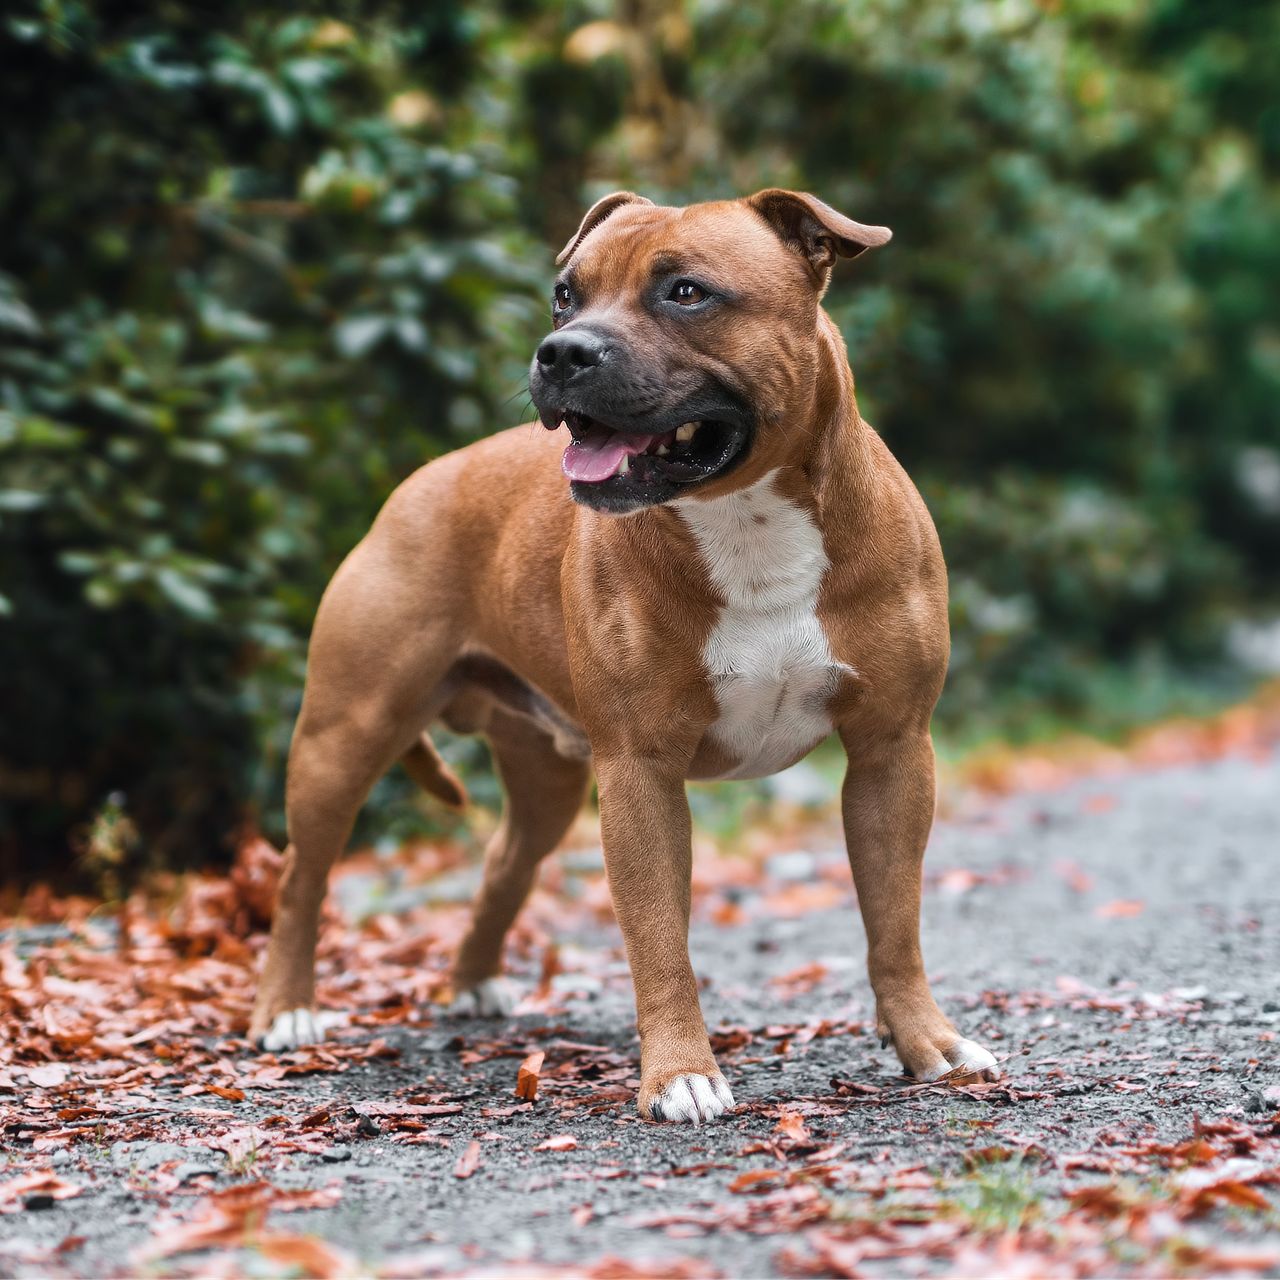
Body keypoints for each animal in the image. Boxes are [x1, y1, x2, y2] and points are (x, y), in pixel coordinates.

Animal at [244, 186, 993, 1121]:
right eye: (565, 295)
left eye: (687, 293)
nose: (561, 352)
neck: (744, 521)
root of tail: (418, 481)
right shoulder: (639, 770)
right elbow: (658, 935)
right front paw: (680, 1074)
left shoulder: (892, 752)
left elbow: (895, 920)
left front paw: (927, 1042)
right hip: (343, 738)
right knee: (302, 878)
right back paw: (285, 1011)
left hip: (546, 777)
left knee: (503, 863)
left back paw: (472, 982)